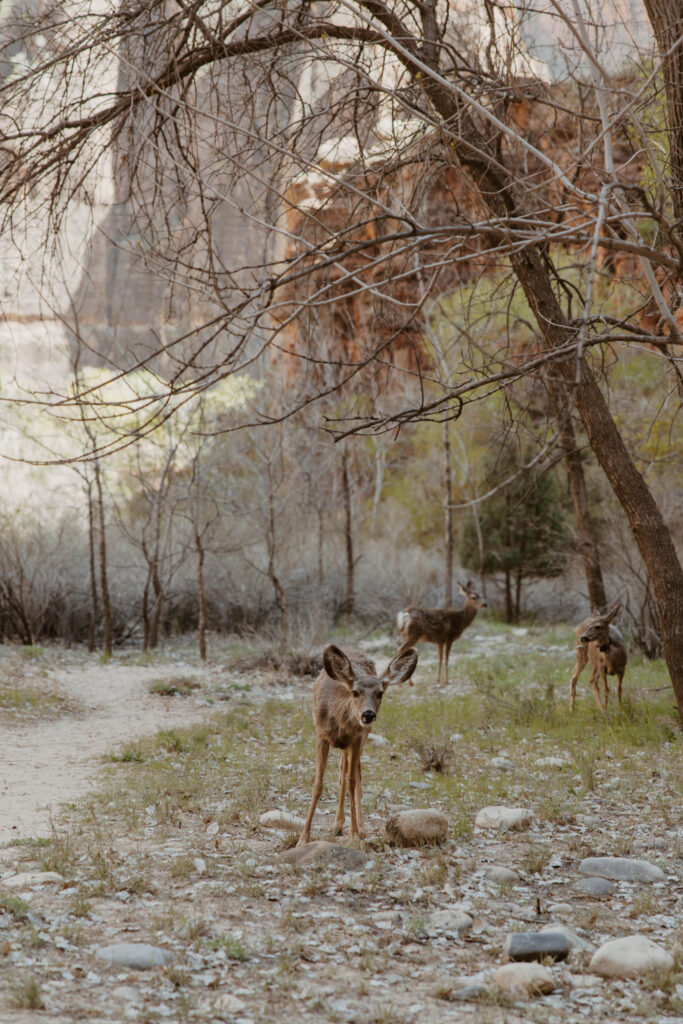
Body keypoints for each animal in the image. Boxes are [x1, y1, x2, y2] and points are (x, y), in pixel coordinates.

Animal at [296, 643, 419, 843]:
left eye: (380, 693)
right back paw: (337, 826)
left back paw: (356, 828)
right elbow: (318, 785)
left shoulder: (356, 738)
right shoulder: (321, 735)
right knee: (342, 771)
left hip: (361, 739)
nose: (368, 714)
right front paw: (303, 837)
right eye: (355, 692)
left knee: (353, 775)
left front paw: (353, 833)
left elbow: (352, 782)